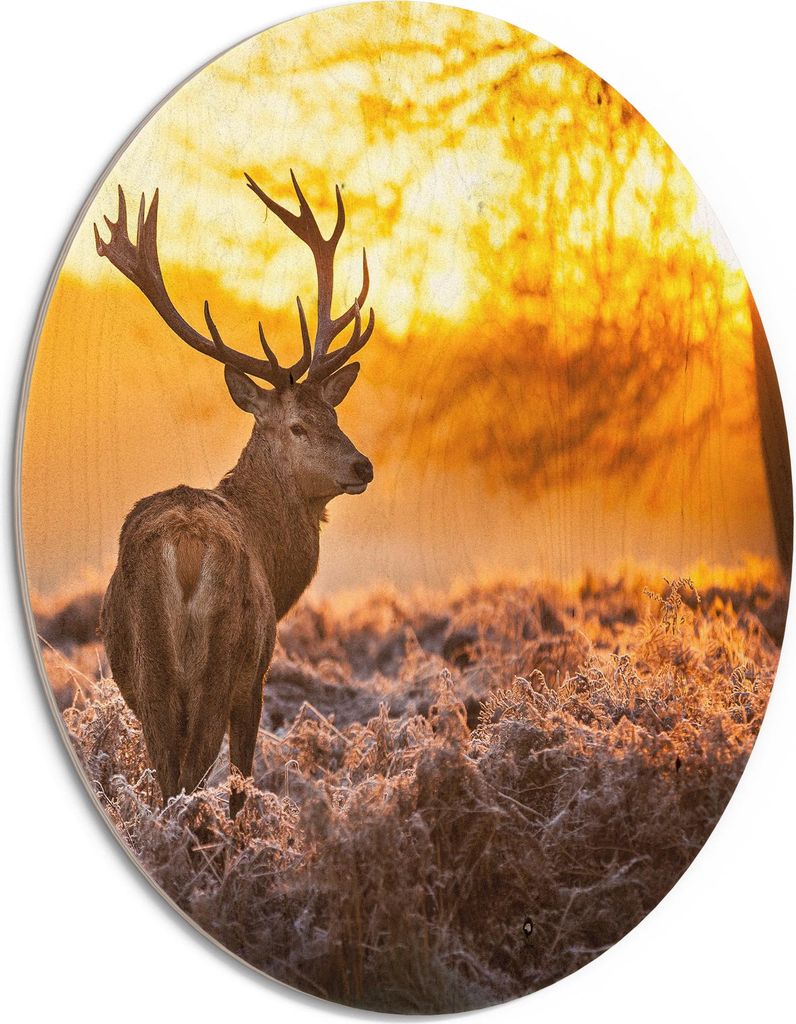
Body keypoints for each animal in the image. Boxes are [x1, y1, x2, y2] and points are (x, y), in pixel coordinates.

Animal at [94, 172, 375, 817]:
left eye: (334, 413)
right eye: (297, 426)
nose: (363, 465)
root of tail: (186, 550)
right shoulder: (259, 674)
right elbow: (243, 779)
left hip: (149, 668)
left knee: (169, 773)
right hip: (220, 662)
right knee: (194, 773)